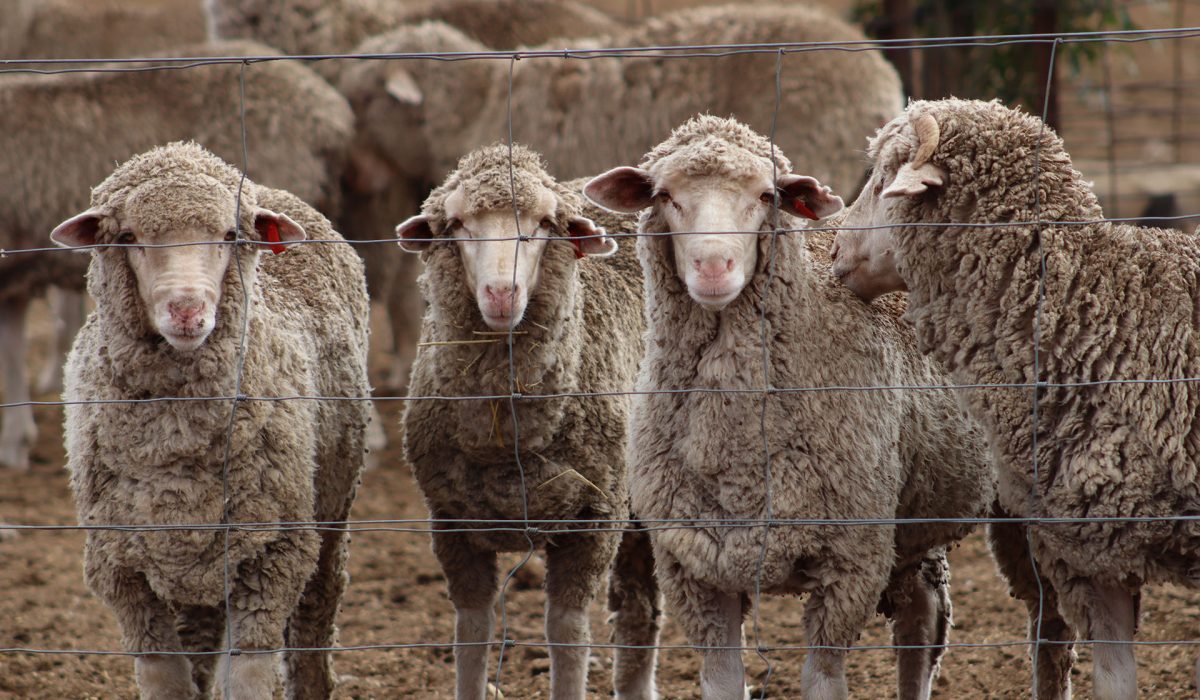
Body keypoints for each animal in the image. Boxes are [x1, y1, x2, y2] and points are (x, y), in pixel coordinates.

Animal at [0, 40, 353, 471]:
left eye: (232, 235)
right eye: (127, 236)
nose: (186, 310)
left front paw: (13, 444)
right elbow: (12, 349)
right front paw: (16, 439)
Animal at [51, 141, 370, 700]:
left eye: (229, 236)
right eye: (128, 237)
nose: (186, 311)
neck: (176, 438)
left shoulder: (274, 552)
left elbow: (248, 675)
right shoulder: (119, 565)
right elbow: (166, 679)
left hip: (328, 510)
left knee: (316, 613)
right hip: (197, 556)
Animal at [395, 144, 659, 700]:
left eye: (541, 224)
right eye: (457, 223)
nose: (501, 293)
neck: (506, 442)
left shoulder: (593, 520)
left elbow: (567, 634)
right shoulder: (450, 523)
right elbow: (472, 633)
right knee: (638, 604)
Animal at [584, 115, 995, 700]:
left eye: (765, 196)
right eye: (664, 196)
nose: (714, 267)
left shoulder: (849, 562)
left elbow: (822, 681)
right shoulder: (696, 568)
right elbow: (722, 682)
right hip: (914, 515)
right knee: (921, 616)